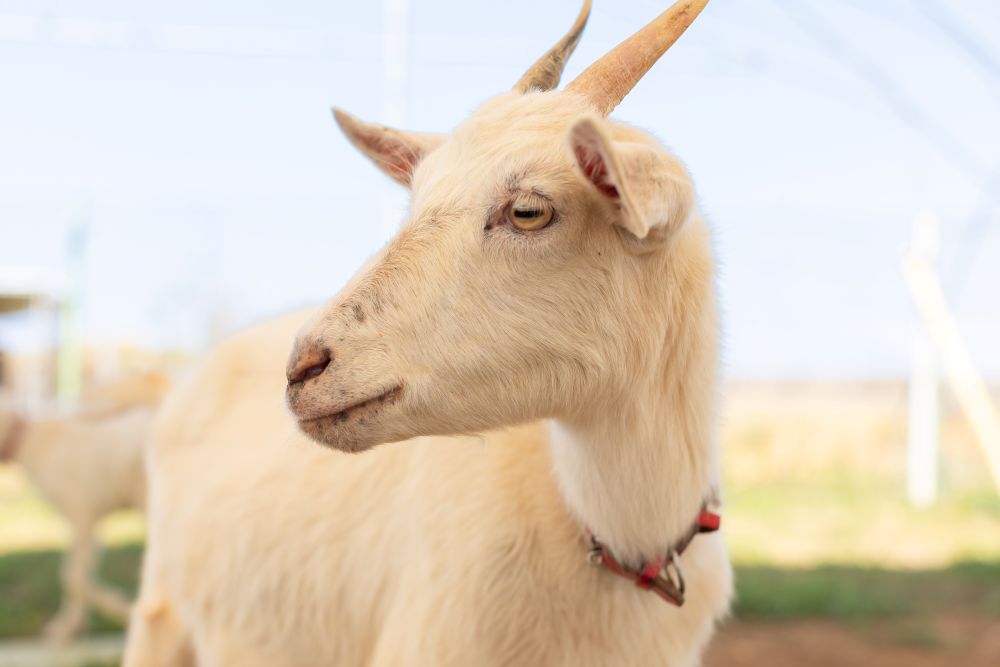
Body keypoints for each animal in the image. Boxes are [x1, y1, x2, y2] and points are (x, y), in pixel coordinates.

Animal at [0, 371, 167, 642]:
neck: (29, 438)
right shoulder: (89, 528)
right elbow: (78, 577)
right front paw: (71, 626)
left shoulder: (83, 519)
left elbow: (73, 577)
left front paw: (120, 609)